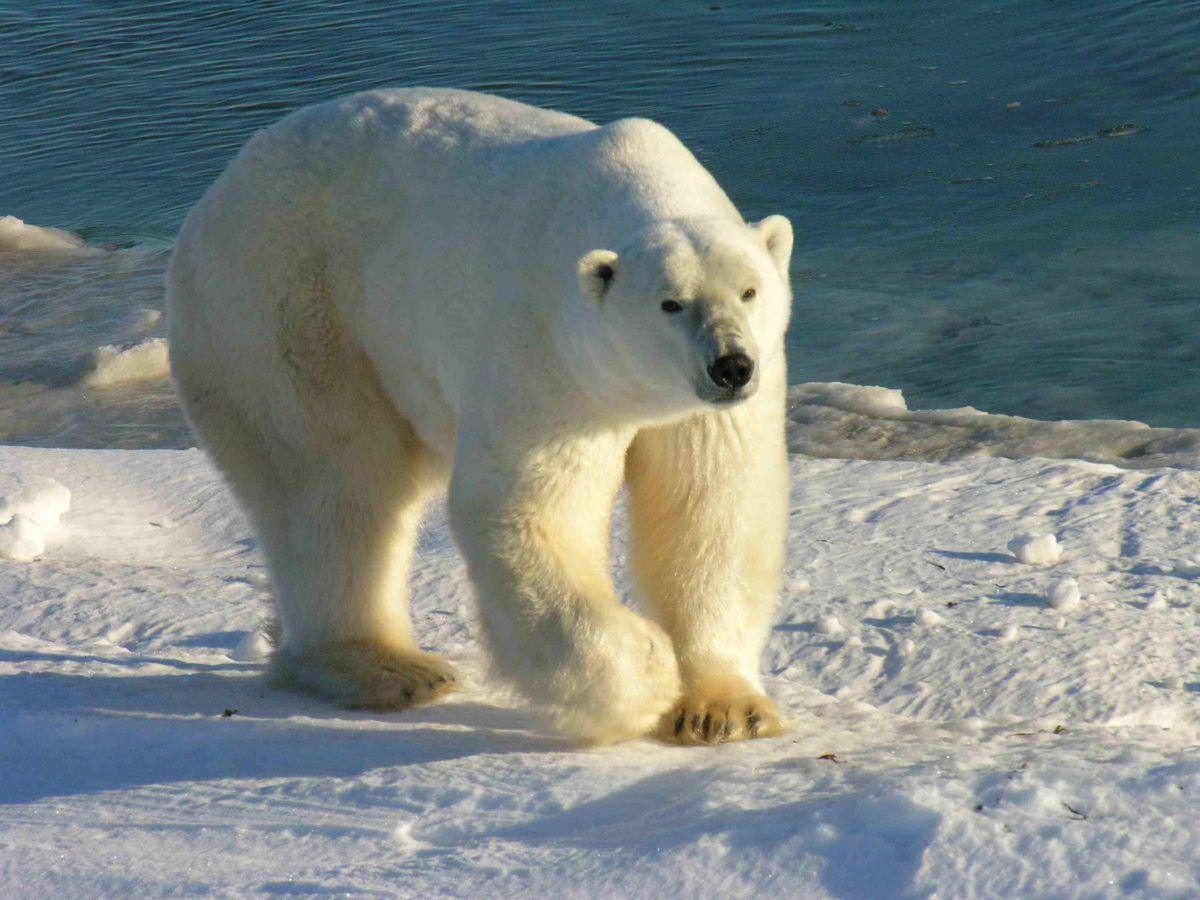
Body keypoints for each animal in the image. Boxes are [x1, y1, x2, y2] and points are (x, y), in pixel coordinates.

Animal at [166, 88, 793, 746]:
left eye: (749, 291)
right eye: (670, 303)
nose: (731, 366)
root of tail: (216, 193)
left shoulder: (711, 407)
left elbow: (713, 506)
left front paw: (723, 710)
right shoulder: (550, 355)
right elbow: (529, 506)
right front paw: (646, 672)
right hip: (283, 306)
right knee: (334, 480)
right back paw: (389, 667)